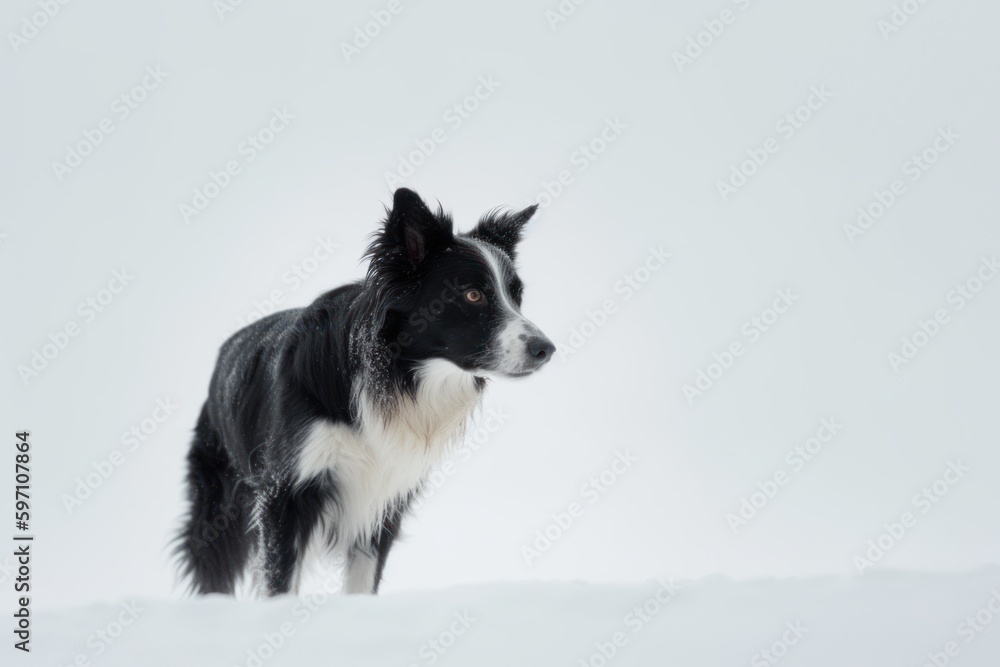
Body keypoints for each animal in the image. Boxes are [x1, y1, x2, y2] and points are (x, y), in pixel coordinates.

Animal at [178, 187, 556, 596]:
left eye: (516, 296)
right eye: (473, 295)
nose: (546, 349)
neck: (392, 374)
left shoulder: (384, 496)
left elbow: (363, 582)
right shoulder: (286, 492)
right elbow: (280, 584)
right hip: (218, 508)